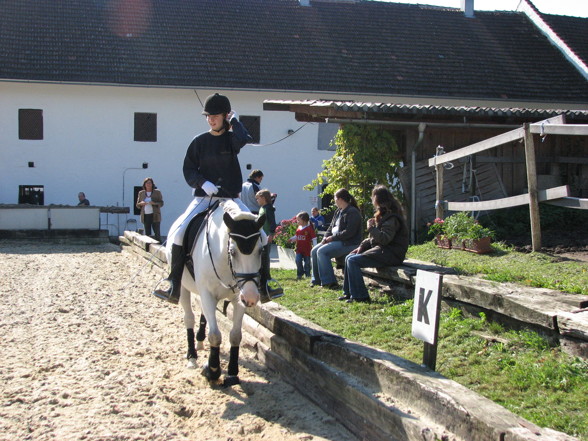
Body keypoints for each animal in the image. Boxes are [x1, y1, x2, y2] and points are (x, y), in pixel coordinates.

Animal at [175, 199, 266, 384]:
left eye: (261, 251)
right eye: (232, 251)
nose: (252, 298)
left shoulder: (239, 298)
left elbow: (236, 335)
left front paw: (232, 373)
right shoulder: (207, 294)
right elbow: (215, 335)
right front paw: (213, 371)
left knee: (203, 315)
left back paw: (200, 341)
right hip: (183, 287)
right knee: (189, 318)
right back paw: (192, 357)